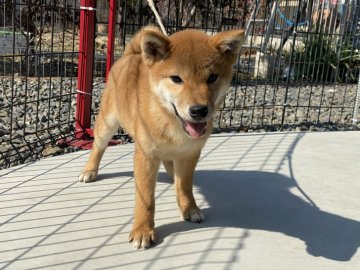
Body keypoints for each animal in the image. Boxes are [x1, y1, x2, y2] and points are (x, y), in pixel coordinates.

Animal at [77, 26, 243, 248]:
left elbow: (185, 186)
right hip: (107, 123)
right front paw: (142, 230)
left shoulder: (190, 154)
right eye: (176, 78)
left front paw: (189, 208)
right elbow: (146, 199)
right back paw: (90, 171)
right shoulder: (146, 156)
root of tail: (130, 54)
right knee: (98, 147)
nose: (199, 110)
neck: (173, 125)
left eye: (212, 77)